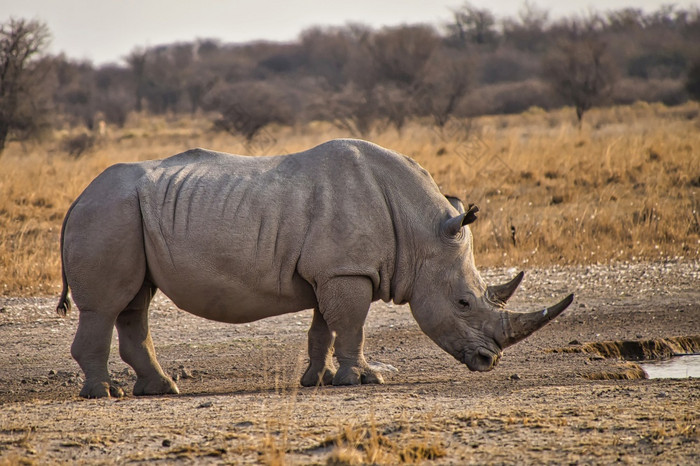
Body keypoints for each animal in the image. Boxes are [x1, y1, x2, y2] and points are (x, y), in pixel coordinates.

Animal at [56, 138, 576, 396]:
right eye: (464, 302)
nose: (490, 362)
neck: (419, 230)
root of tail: (77, 197)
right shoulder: (348, 271)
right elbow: (353, 326)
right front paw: (363, 380)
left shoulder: (334, 271)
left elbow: (324, 327)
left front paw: (318, 380)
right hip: (108, 212)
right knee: (107, 306)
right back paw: (106, 394)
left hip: (123, 214)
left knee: (135, 303)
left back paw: (161, 389)